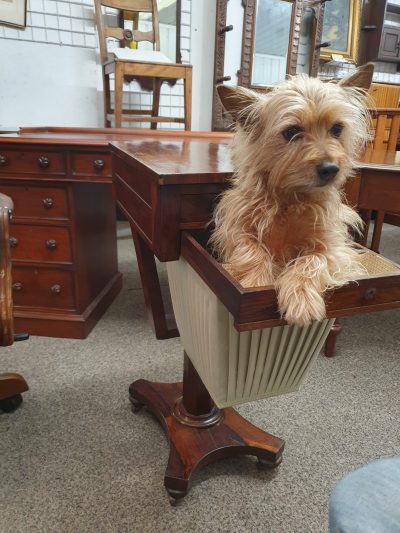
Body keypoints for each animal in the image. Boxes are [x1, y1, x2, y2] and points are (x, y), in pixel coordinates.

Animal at [211, 64, 374, 326]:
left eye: (337, 129)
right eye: (291, 131)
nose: (330, 169)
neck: (291, 198)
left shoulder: (334, 249)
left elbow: (311, 261)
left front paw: (302, 300)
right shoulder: (234, 232)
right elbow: (252, 252)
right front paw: (257, 282)